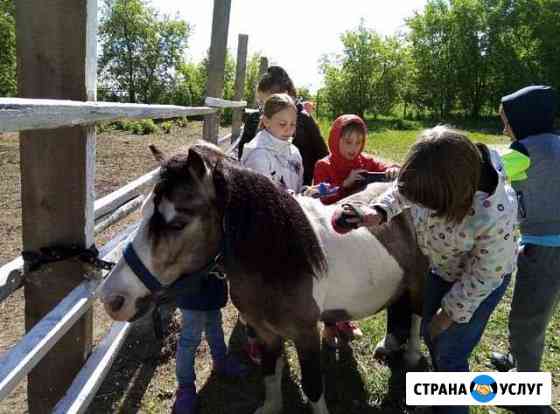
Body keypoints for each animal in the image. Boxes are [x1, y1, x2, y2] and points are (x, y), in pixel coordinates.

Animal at [99, 142, 428, 414]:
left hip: (418, 281)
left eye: (178, 223)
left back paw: (411, 356)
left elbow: (312, 387)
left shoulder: (306, 335)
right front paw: (271, 406)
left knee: (415, 316)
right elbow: (270, 374)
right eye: (143, 212)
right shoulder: (265, 331)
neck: (284, 260)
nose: (112, 298)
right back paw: (386, 345)